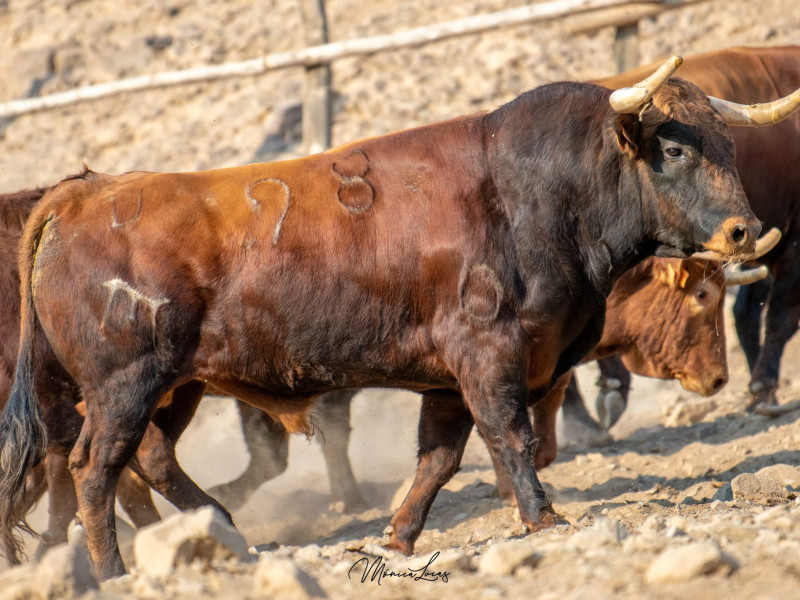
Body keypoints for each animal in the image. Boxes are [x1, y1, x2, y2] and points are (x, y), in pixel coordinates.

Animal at [1, 58, 788, 580]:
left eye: (728, 143)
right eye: (675, 147)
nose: (744, 232)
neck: (535, 193)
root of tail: (82, 192)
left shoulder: (449, 380)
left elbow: (438, 459)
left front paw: (398, 538)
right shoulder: (489, 355)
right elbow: (513, 437)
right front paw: (544, 517)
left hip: (175, 385)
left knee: (152, 458)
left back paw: (231, 536)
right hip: (123, 385)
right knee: (95, 468)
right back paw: (113, 571)